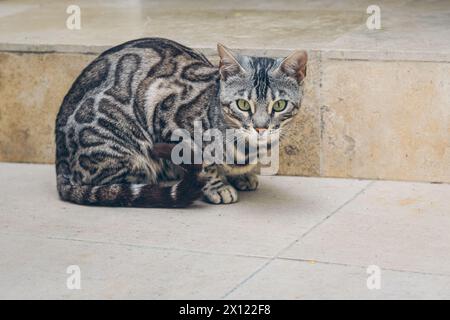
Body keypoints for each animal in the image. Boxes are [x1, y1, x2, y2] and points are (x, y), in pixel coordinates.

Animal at [54, 37, 308, 208]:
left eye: (279, 105)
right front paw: (218, 186)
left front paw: (241, 176)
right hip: (129, 149)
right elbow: (205, 163)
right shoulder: (167, 114)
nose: (261, 127)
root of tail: (60, 163)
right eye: (243, 104)